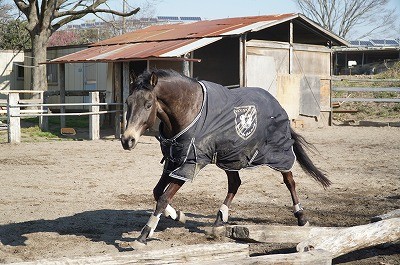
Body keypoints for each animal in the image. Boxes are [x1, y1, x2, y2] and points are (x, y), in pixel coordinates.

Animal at [121, 68, 332, 248]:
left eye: (148, 104)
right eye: (128, 102)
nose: (127, 140)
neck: (188, 111)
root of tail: (277, 104)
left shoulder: (190, 164)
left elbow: (163, 197)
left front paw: (143, 235)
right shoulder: (173, 160)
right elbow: (157, 192)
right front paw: (178, 215)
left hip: (279, 154)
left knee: (290, 182)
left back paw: (301, 217)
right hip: (231, 157)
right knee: (235, 184)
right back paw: (219, 220)